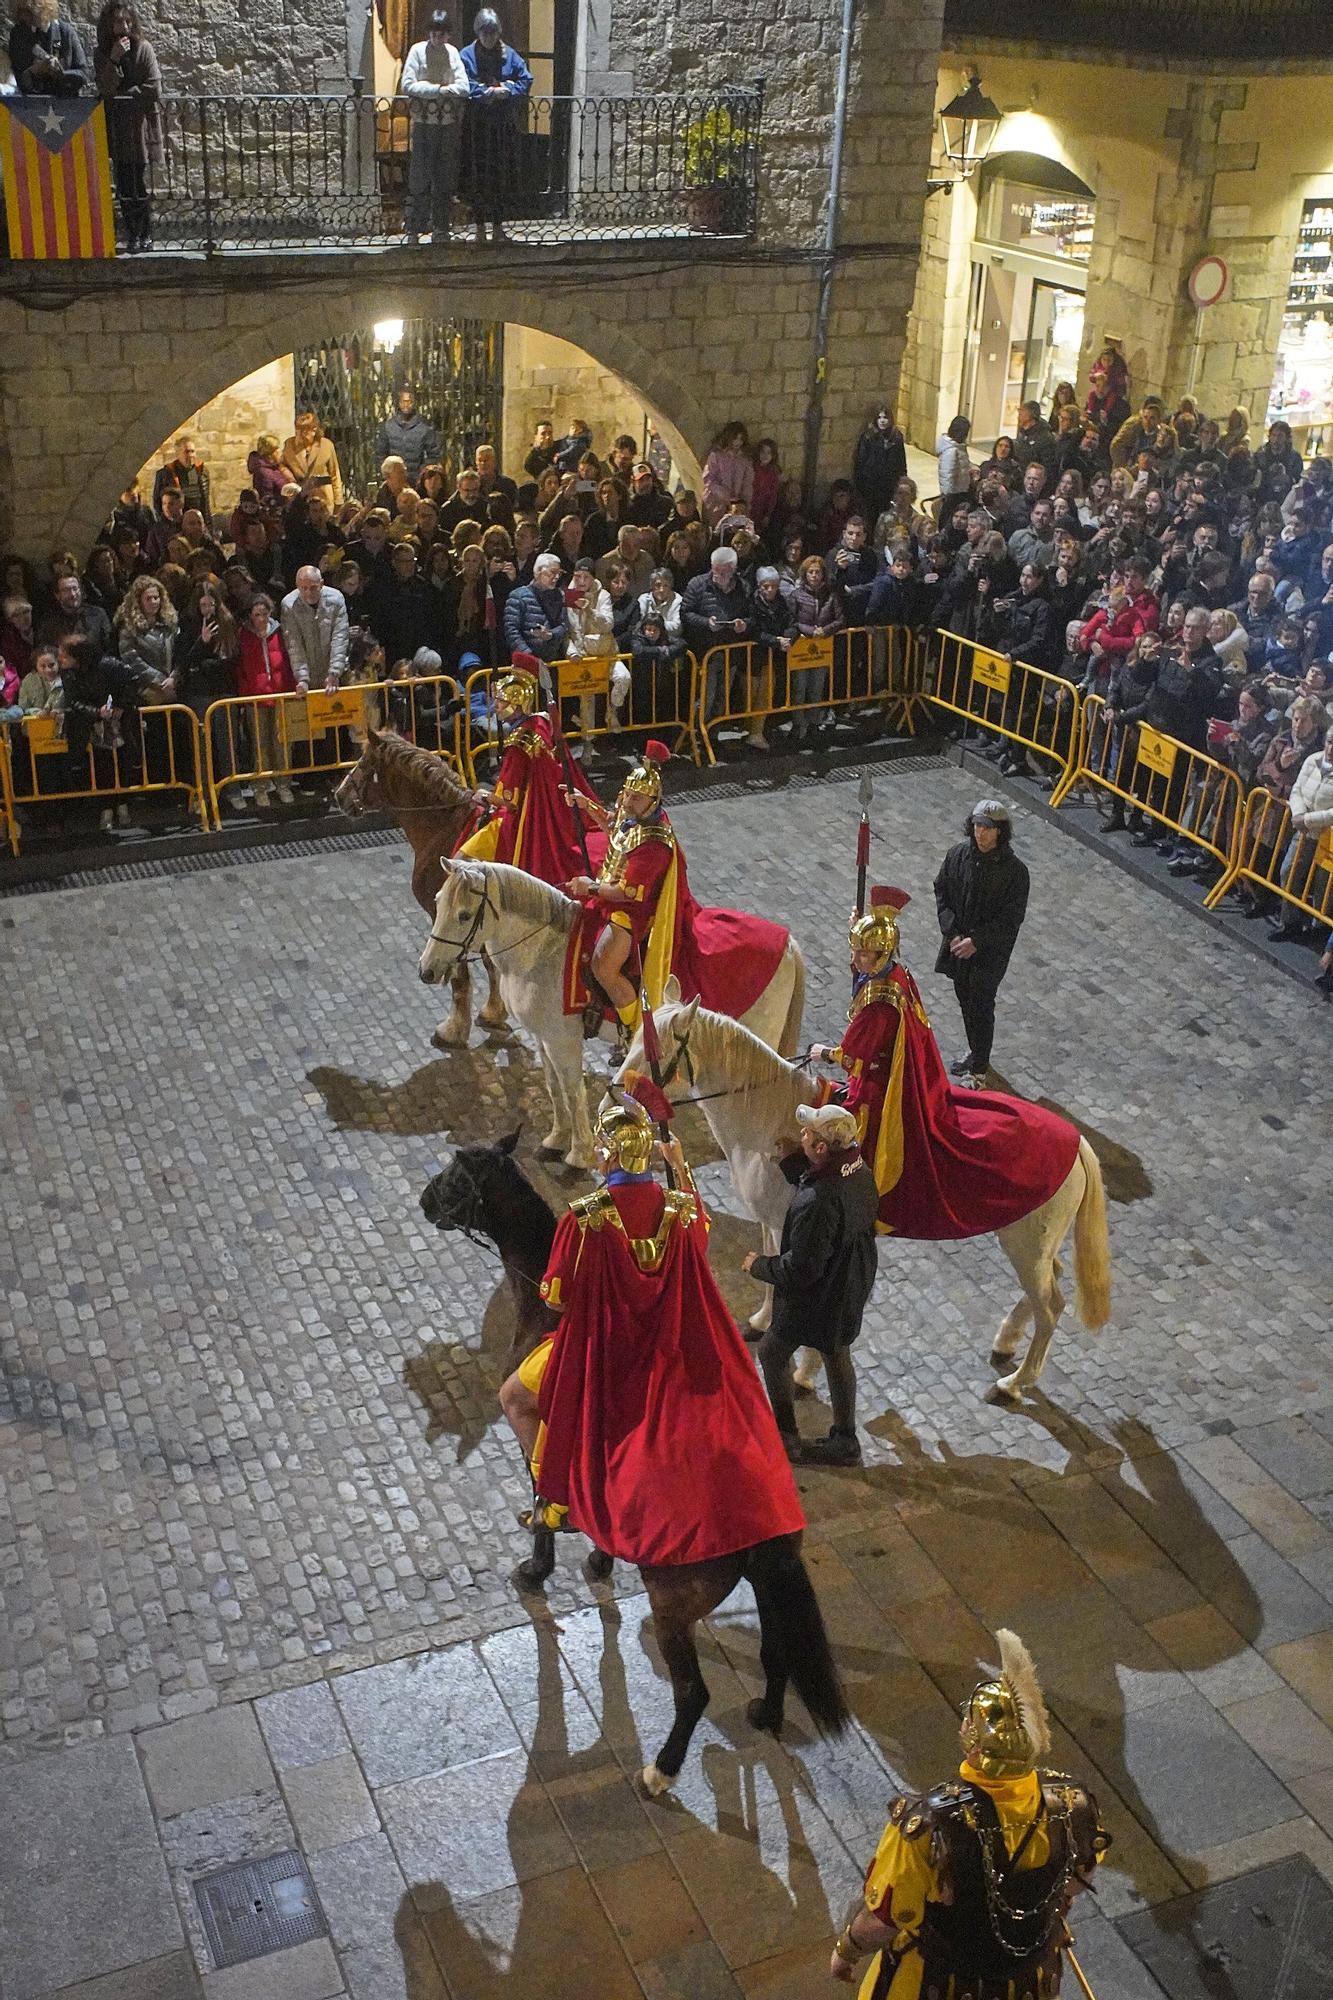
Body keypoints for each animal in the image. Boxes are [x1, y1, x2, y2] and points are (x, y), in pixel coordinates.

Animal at [330, 736, 504, 1048]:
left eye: (365, 761)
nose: (339, 795)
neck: (446, 828)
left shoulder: (448, 918)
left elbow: (461, 976)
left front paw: (453, 1030)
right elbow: (490, 964)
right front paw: (494, 1011)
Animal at [420, 860, 804, 1168]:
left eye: (464, 915)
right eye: (437, 901)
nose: (427, 971)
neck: (542, 951)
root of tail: (788, 944)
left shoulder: (563, 1040)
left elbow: (572, 1091)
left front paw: (578, 1154)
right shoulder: (543, 1037)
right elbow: (553, 1087)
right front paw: (555, 1140)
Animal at [420, 1136, 844, 1808]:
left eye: (458, 1176)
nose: (424, 1200)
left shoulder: (533, 1423)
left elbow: (541, 1492)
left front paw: (539, 1562)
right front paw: (597, 1558)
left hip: (674, 1611)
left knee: (693, 1692)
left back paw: (661, 1771)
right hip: (763, 1583)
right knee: (776, 1652)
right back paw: (765, 1715)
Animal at [624, 992, 1112, 1400]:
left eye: (656, 1051)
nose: (620, 1096)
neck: (772, 1120)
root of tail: (1076, 1142)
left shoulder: (793, 1231)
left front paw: (802, 1370)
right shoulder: (770, 1222)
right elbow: (767, 1273)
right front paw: (761, 1322)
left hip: (1024, 1245)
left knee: (1051, 1308)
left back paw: (1015, 1382)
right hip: (1030, 1245)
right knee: (1049, 1286)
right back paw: (1007, 1341)